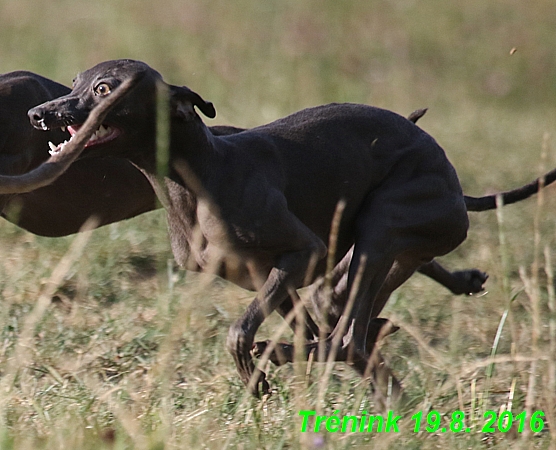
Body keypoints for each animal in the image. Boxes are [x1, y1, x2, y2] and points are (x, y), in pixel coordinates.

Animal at [26, 59, 556, 400]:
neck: (201, 174)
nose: (38, 113)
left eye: (104, 89)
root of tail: (455, 185)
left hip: (382, 226)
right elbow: (293, 330)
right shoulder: (269, 275)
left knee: (347, 336)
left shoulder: (303, 252)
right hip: (372, 250)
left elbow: (240, 332)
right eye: (74, 83)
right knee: (349, 324)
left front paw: (257, 368)